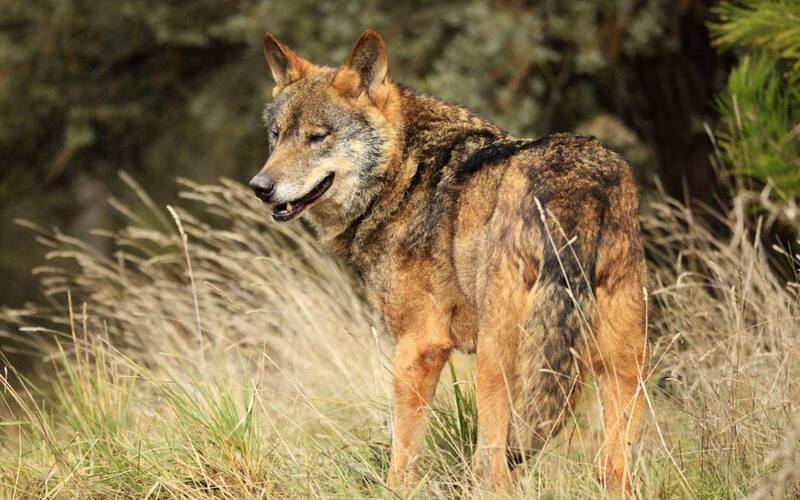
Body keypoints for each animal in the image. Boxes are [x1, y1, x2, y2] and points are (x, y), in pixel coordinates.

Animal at [250, 30, 648, 492]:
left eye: (317, 137)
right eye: (277, 135)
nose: (260, 186)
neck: (405, 173)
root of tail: (577, 183)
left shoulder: (419, 345)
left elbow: (402, 454)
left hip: (497, 365)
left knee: (493, 469)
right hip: (622, 368)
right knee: (613, 470)